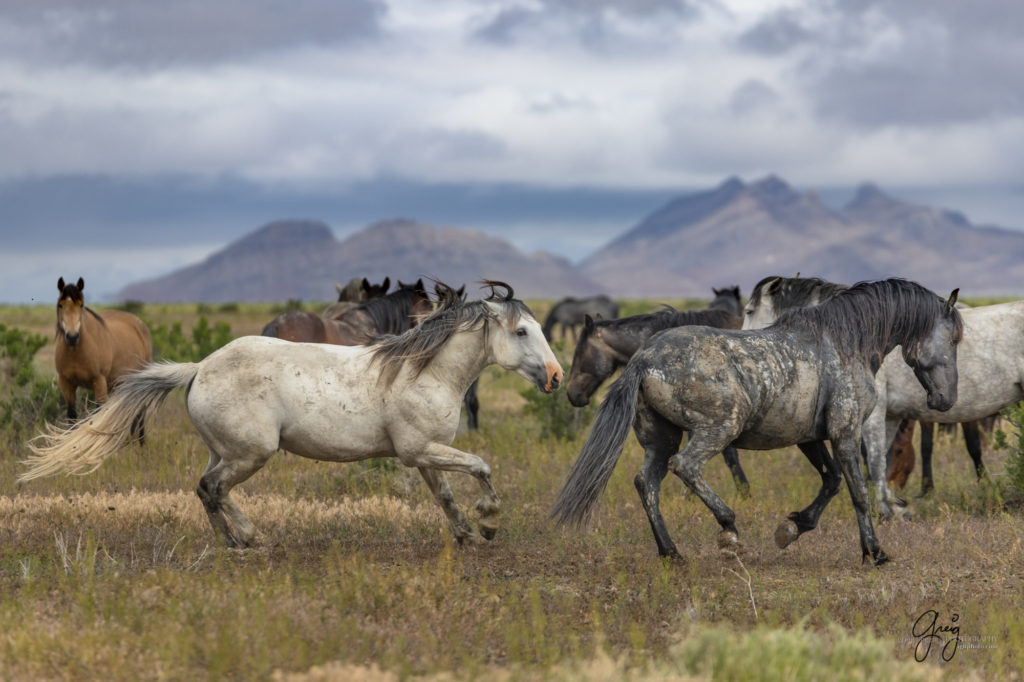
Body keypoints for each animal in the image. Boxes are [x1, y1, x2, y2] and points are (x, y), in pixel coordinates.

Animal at [552, 278, 958, 565]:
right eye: (954, 338)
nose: (947, 399)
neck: (844, 343)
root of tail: (644, 358)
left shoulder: (809, 437)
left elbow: (831, 482)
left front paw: (792, 528)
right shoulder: (845, 432)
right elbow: (857, 491)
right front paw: (874, 552)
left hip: (661, 439)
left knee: (646, 483)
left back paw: (672, 553)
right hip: (716, 430)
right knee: (685, 467)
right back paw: (729, 530)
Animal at [745, 274, 1024, 518]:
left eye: (748, 311)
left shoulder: (873, 415)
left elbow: (877, 461)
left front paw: (885, 511)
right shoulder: (887, 417)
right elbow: (878, 462)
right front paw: (892, 506)